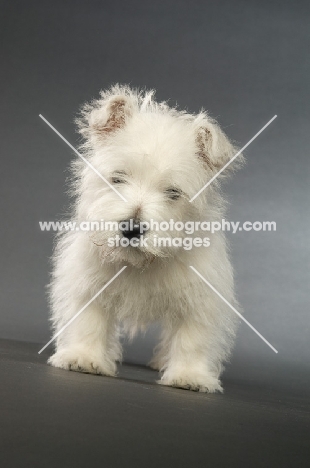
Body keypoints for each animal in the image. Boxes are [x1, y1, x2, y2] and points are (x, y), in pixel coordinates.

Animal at [48, 84, 243, 392]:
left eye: (173, 192)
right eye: (118, 178)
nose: (131, 228)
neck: (143, 263)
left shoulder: (201, 295)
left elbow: (193, 337)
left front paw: (190, 376)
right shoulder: (88, 279)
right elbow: (89, 321)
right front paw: (84, 357)